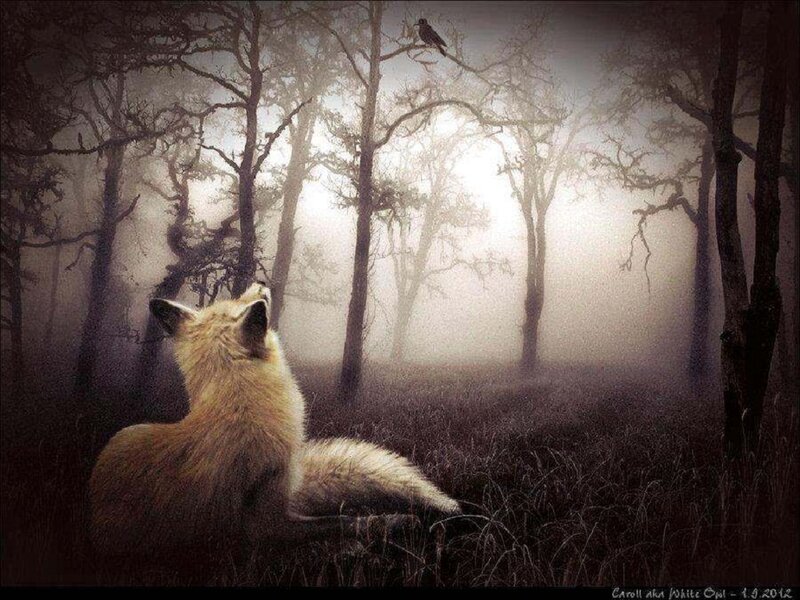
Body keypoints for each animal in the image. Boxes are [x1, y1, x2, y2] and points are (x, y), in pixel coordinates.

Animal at [89, 282, 459, 556]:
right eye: (239, 301)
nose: (261, 282)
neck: (236, 412)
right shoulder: (267, 525)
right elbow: (337, 522)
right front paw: (386, 526)